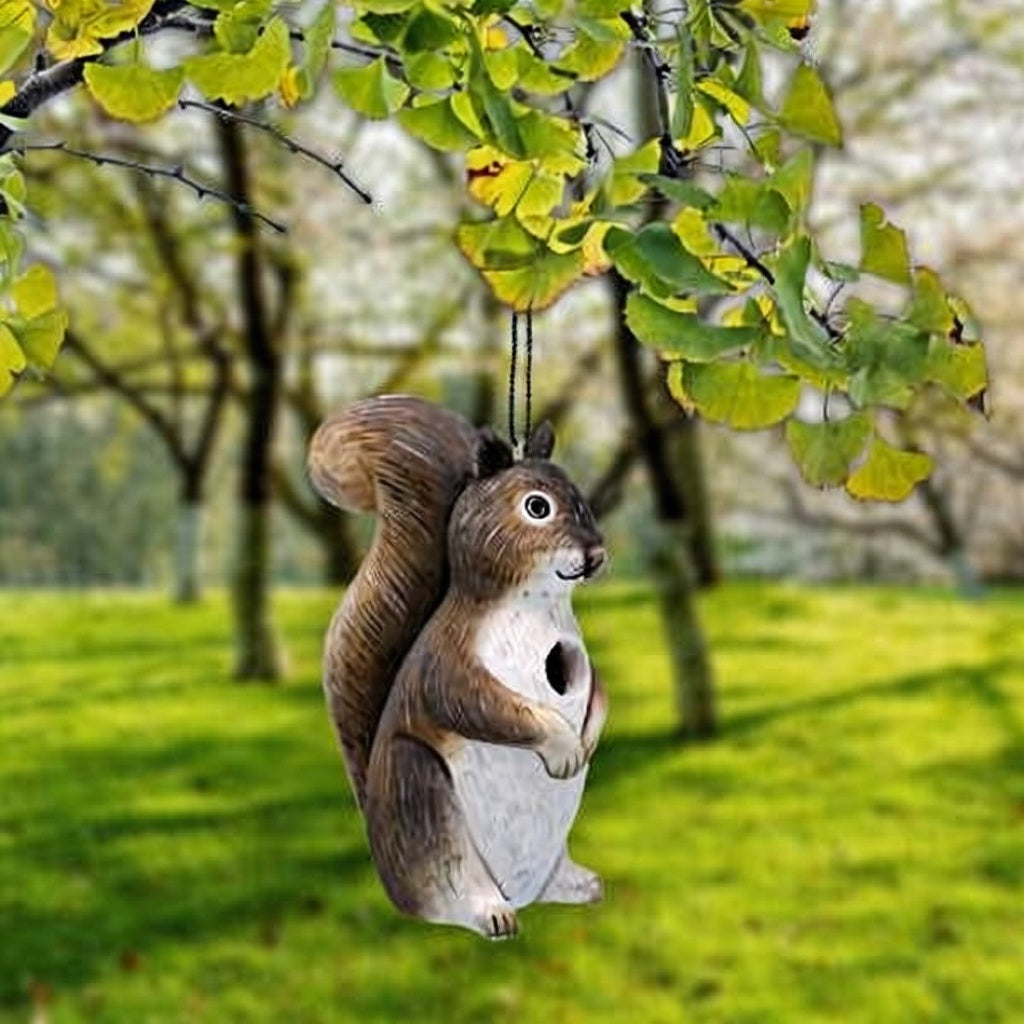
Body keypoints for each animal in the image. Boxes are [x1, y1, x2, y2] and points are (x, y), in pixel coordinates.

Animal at [308, 394, 608, 938]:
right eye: (537, 507)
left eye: (581, 497)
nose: (595, 554)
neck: (535, 606)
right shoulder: (447, 662)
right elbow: (484, 706)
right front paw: (562, 746)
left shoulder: (581, 663)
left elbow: (600, 691)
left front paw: (588, 739)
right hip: (423, 795)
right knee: (444, 894)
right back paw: (487, 911)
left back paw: (577, 885)